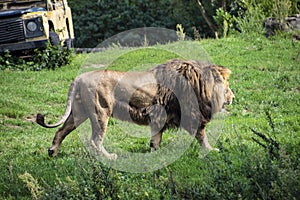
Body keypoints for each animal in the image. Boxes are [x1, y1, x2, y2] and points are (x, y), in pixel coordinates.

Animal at [36, 59, 234, 159]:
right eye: (227, 86)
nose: (233, 97)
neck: (201, 86)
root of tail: (79, 78)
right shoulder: (192, 115)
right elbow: (202, 136)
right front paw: (211, 150)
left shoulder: (159, 117)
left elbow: (156, 139)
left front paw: (155, 154)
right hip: (101, 112)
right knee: (95, 141)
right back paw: (109, 157)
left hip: (79, 113)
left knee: (60, 131)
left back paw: (52, 152)